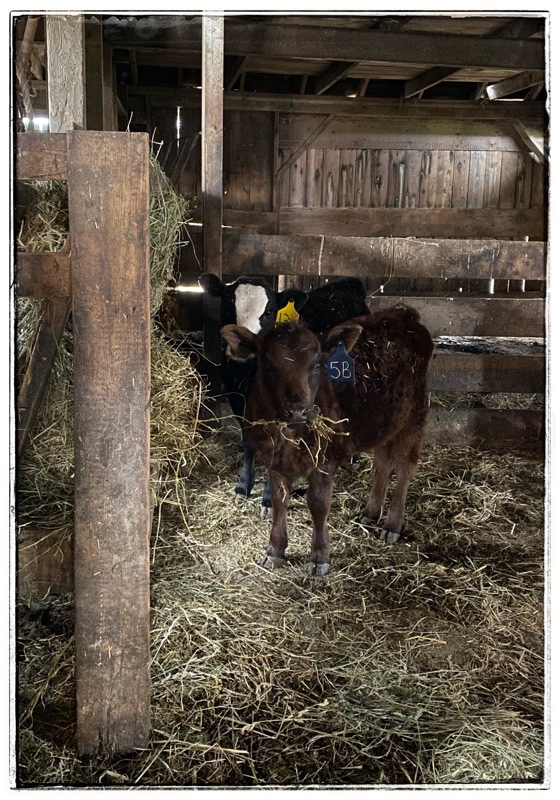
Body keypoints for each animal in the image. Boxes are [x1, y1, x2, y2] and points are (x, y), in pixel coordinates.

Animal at [199, 274, 370, 506]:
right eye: (227, 305)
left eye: (269, 311)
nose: (241, 347)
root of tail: (348, 283)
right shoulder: (238, 401)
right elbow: (248, 441)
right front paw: (244, 485)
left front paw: (270, 497)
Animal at [221, 305, 434, 576]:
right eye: (267, 364)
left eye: (316, 365)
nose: (297, 411)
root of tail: (402, 314)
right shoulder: (274, 463)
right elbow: (279, 501)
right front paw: (275, 550)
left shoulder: (325, 461)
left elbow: (318, 504)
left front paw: (319, 557)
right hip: (384, 422)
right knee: (383, 465)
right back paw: (371, 512)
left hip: (414, 417)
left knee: (405, 468)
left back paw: (392, 524)